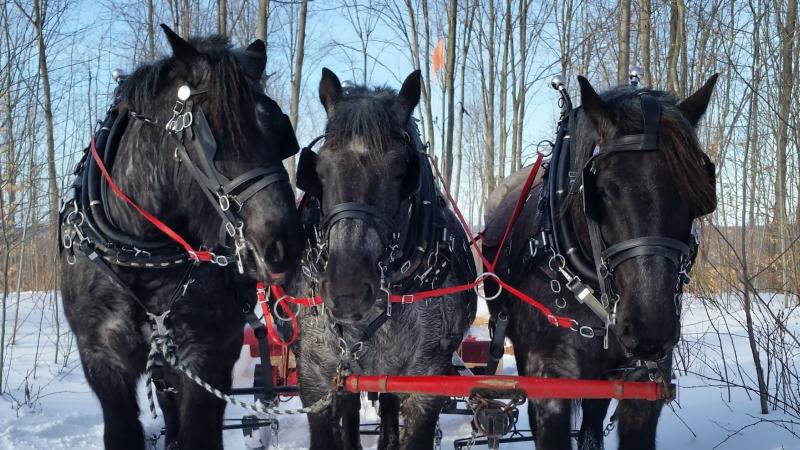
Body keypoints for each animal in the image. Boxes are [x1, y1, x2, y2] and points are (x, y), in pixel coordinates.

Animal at [59, 26, 302, 448]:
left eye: (279, 131)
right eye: (212, 134)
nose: (282, 246)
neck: (141, 254)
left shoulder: (206, 353)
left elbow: (198, 432)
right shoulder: (102, 358)